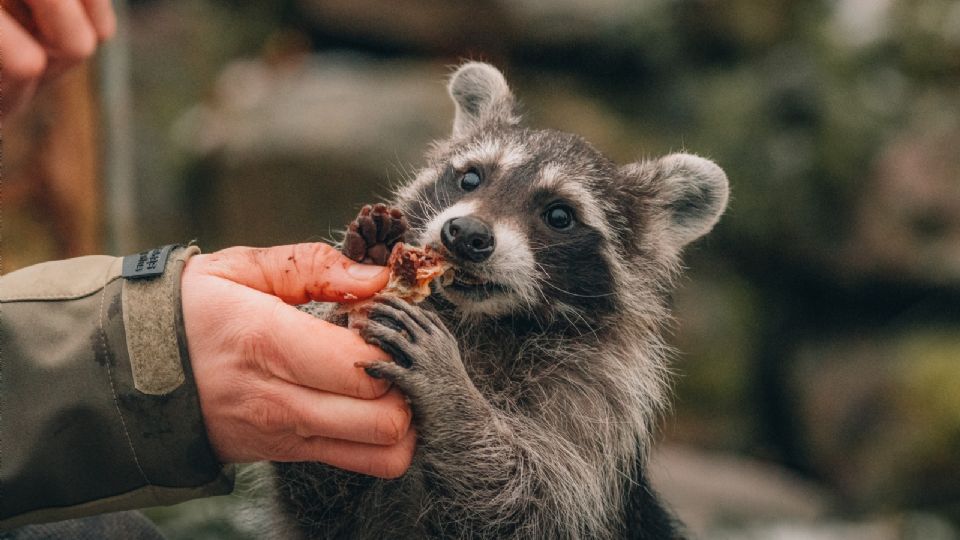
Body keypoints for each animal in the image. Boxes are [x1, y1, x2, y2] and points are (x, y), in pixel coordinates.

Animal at [270, 61, 728, 536]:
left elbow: (528, 504)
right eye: (471, 177)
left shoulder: (593, 416)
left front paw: (453, 397)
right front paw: (354, 286)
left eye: (559, 215)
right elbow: (320, 490)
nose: (465, 235)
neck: (482, 323)